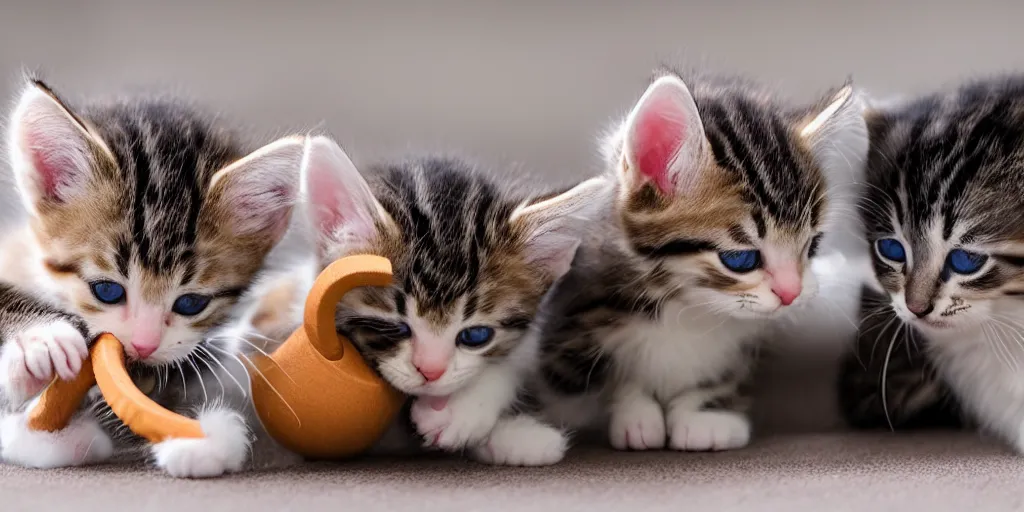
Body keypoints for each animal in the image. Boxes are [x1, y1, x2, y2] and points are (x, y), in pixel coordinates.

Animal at [481, 70, 872, 462]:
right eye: (740, 259)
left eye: (813, 245)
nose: (792, 294)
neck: (687, 306)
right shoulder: (578, 311)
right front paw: (636, 412)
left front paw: (706, 413)